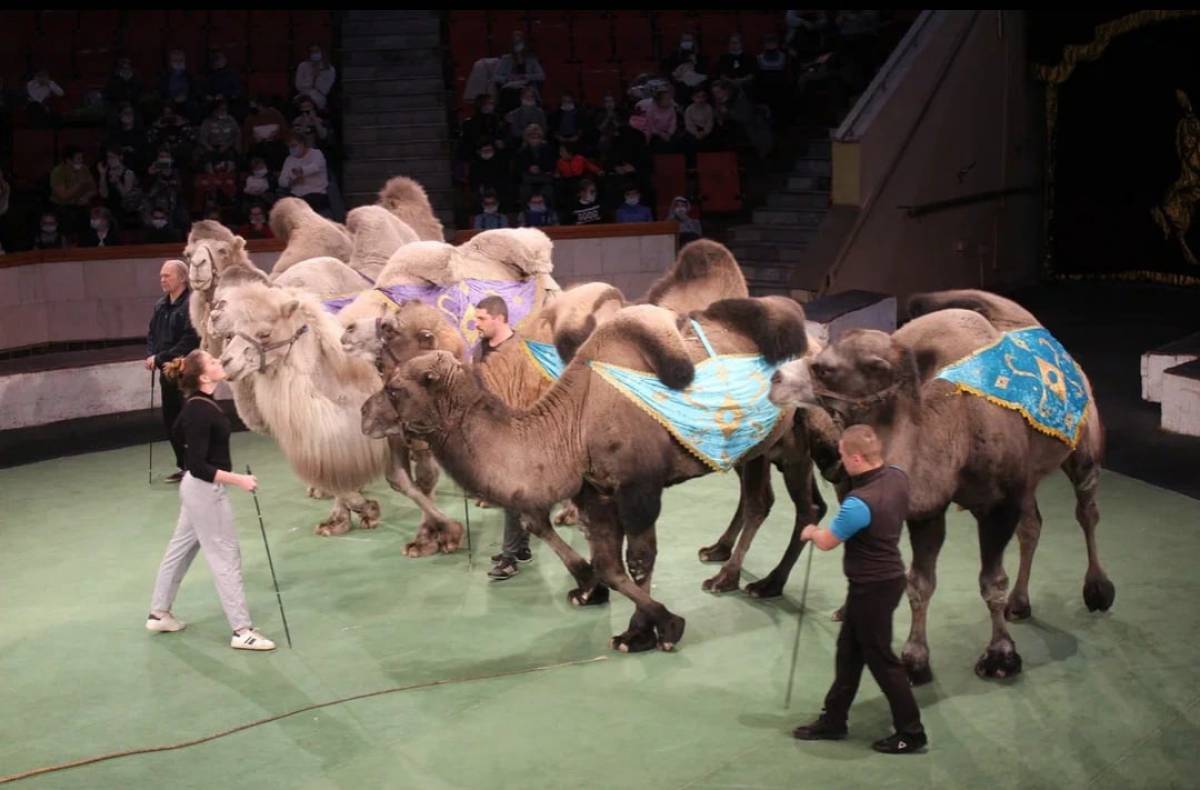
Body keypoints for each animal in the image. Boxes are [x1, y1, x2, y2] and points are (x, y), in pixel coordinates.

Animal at [214, 279, 463, 545]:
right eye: (232, 332)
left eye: (264, 333)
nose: (226, 362)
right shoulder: (333, 443)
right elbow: (336, 478)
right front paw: (347, 517)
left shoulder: (392, 435)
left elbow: (407, 479)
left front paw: (439, 531)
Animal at [364, 296, 811, 653]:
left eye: (395, 389)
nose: (365, 413)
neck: (573, 424)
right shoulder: (597, 491)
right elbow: (609, 565)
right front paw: (599, 593)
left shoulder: (639, 489)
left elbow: (639, 560)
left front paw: (653, 630)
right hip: (757, 450)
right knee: (760, 500)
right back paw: (721, 558)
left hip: (801, 441)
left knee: (799, 509)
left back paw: (752, 581)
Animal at [768, 285, 1113, 681]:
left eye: (824, 367)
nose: (775, 379)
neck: (957, 426)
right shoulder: (928, 507)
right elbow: (920, 582)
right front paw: (915, 659)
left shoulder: (997, 506)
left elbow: (991, 582)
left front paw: (1001, 655)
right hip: (1027, 479)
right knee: (1032, 526)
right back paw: (1020, 603)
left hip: (1084, 447)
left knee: (1086, 511)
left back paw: (1098, 591)